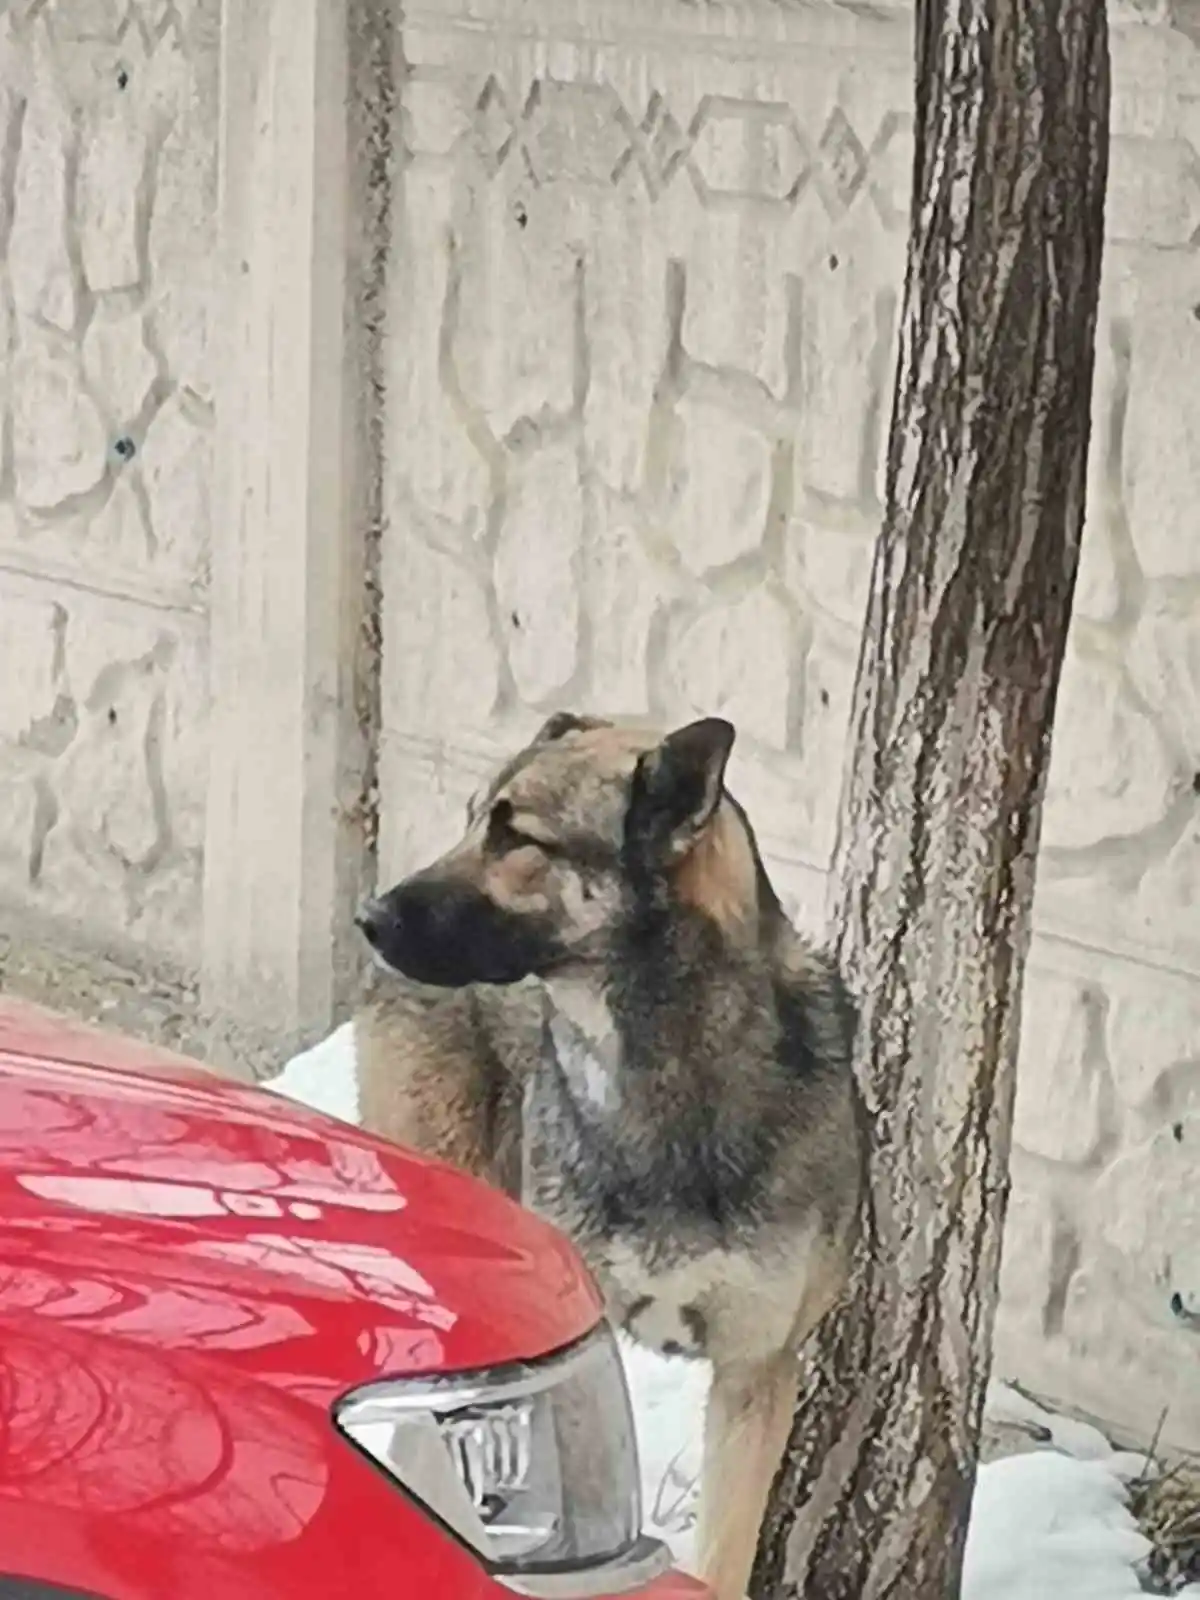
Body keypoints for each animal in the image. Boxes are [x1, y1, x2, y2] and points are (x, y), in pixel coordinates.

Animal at [355, 713, 864, 1600]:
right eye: (471, 819)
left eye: (517, 836)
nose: (372, 918)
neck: (665, 1080)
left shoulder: (756, 1375)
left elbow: (726, 1555)